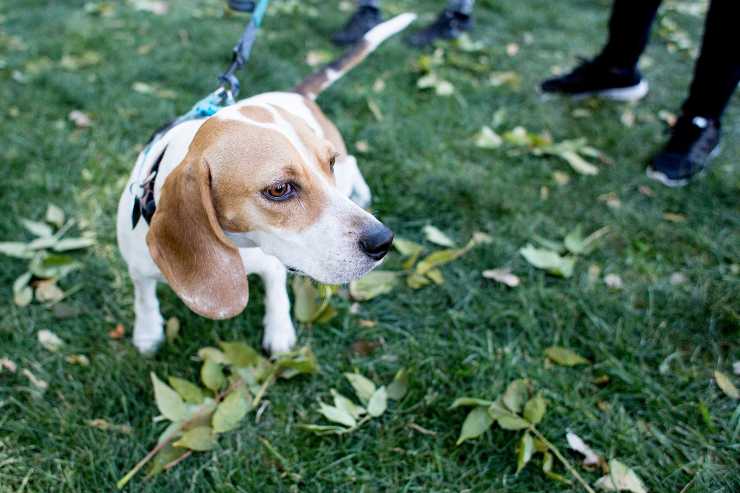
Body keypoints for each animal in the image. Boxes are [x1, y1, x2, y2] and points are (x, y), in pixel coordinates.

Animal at [115, 14, 416, 354]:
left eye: (328, 163)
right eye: (279, 190)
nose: (383, 241)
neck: (238, 244)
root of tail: (295, 93)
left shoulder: (273, 264)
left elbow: (278, 297)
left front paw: (279, 333)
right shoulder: (138, 268)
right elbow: (144, 297)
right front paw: (147, 332)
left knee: (352, 162)